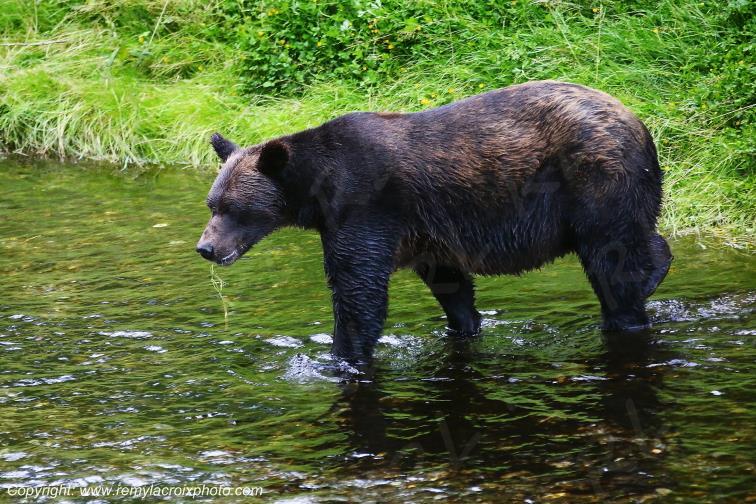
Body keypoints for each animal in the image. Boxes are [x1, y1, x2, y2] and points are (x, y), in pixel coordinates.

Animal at [196, 80, 672, 362]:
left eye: (234, 208)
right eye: (211, 203)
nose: (207, 247)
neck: (317, 190)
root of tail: (637, 120)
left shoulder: (365, 205)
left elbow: (357, 289)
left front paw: (342, 357)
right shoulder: (426, 233)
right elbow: (449, 283)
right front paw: (464, 324)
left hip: (595, 179)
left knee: (611, 258)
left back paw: (627, 306)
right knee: (636, 240)